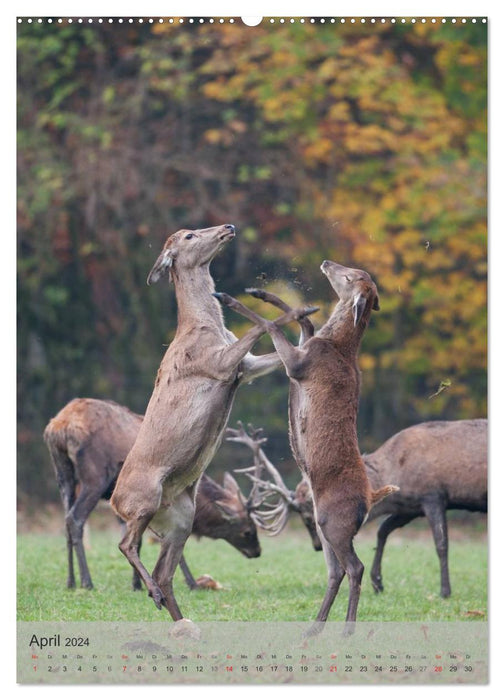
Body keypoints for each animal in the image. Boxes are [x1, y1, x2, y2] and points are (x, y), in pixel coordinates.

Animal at [43, 400, 262, 592]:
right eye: (248, 531)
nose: (258, 551)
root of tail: (58, 427)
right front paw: (191, 583)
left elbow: (133, 539)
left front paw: (136, 584)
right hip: (94, 477)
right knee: (75, 518)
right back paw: (87, 581)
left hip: (63, 475)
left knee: (65, 520)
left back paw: (70, 581)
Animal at [110, 221, 316, 620]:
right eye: (189, 235)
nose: (228, 226)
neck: (207, 328)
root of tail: (113, 502)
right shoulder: (216, 363)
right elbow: (261, 327)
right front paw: (300, 305)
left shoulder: (245, 367)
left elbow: (274, 349)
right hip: (144, 497)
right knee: (126, 542)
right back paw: (152, 593)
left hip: (180, 517)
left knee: (166, 570)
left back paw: (174, 612)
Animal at [215, 260, 400, 636]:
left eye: (350, 276)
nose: (328, 263)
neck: (335, 345)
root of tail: (372, 497)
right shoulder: (304, 347)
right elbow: (305, 323)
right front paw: (262, 292)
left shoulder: (300, 364)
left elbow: (273, 325)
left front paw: (229, 297)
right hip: (322, 524)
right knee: (335, 570)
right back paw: (314, 628)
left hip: (334, 521)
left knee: (355, 567)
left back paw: (347, 629)